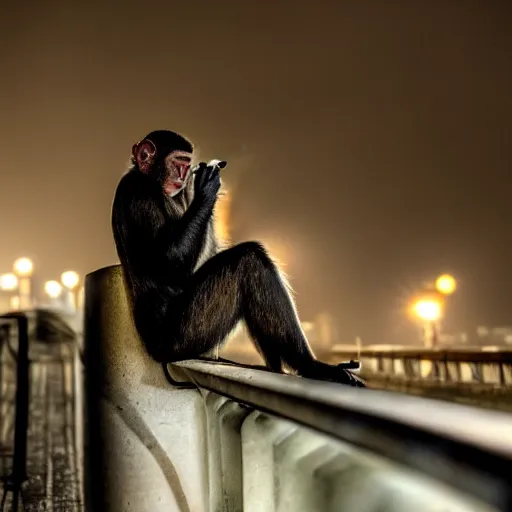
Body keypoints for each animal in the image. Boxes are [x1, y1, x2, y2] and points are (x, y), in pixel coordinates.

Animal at [111, 130, 364, 386]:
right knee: (248, 260)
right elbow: (168, 262)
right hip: (184, 334)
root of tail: (155, 351)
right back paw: (308, 364)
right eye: (177, 162)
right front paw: (207, 186)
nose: (184, 174)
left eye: (186, 163)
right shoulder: (140, 196)